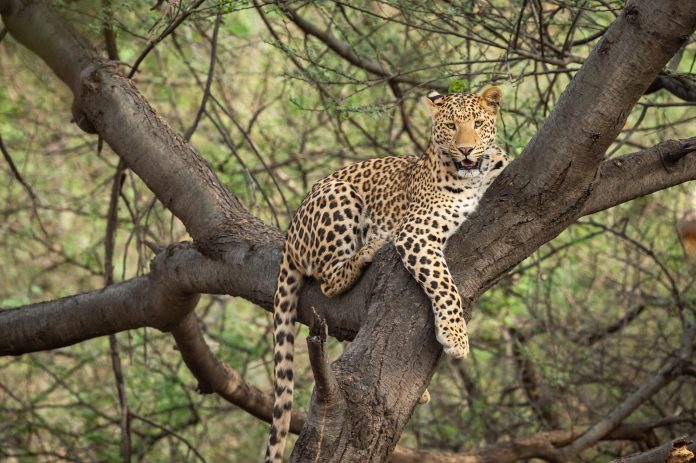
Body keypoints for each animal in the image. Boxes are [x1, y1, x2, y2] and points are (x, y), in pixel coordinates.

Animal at [264, 88, 508, 463]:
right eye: (452, 126)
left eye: (478, 124)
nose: (466, 149)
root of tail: (290, 233)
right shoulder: (416, 233)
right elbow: (445, 284)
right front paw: (455, 337)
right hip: (340, 196)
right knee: (328, 279)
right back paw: (370, 248)